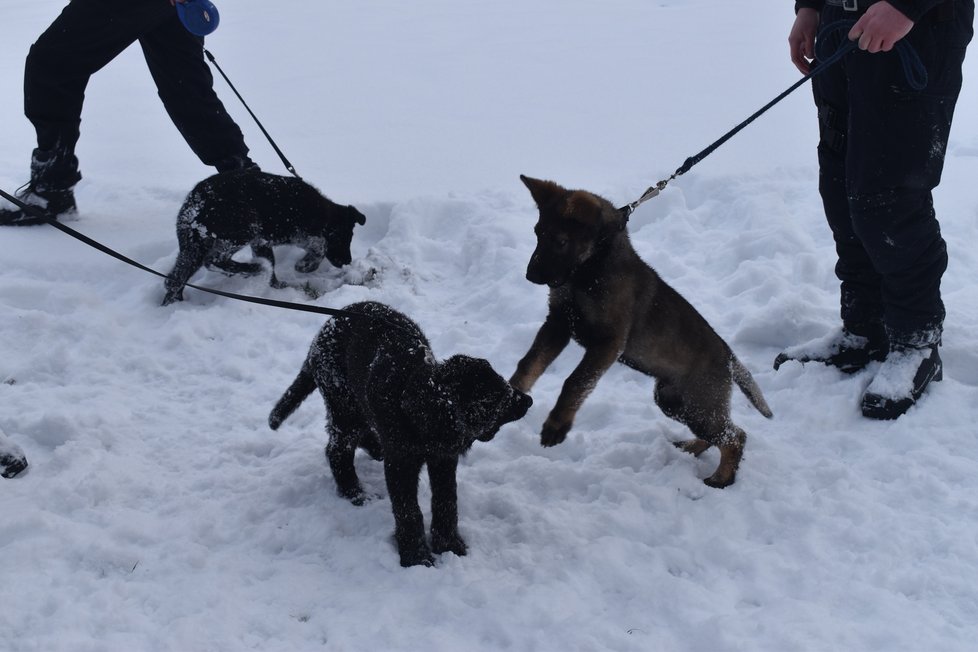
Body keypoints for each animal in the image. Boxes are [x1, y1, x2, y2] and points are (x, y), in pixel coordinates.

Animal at [162, 172, 364, 306]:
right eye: (344, 239)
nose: (346, 262)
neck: (323, 213)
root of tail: (196, 203)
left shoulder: (261, 241)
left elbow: (273, 266)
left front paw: (277, 287)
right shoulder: (298, 231)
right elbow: (319, 246)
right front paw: (305, 265)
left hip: (193, 245)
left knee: (175, 278)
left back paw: (173, 304)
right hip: (243, 227)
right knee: (214, 260)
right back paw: (253, 268)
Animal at [266, 300, 528, 564]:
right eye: (498, 400)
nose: (528, 401)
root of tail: (317, 341)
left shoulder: (443, 458)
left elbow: (446, 501)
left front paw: (448, 545)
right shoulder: (401, 464)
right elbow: (408, 510)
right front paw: (416, 556)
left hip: (356, 405)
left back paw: (375, 450)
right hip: (344, 405)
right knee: (337, 450)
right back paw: (354, 493)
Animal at [510, 176, 772, 486]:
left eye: (561, 241)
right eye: (537, 233)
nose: (530, 276)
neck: (588, 270)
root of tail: (729, 356)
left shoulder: (609, 341)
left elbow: (575, 381)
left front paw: (557, 425)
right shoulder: (558, 323)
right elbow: (529, 363)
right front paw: (509, 393)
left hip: (698, 403)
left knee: (734, 436)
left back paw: (721, 478)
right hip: (674, 401)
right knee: (718, 433)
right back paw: (690, 448)